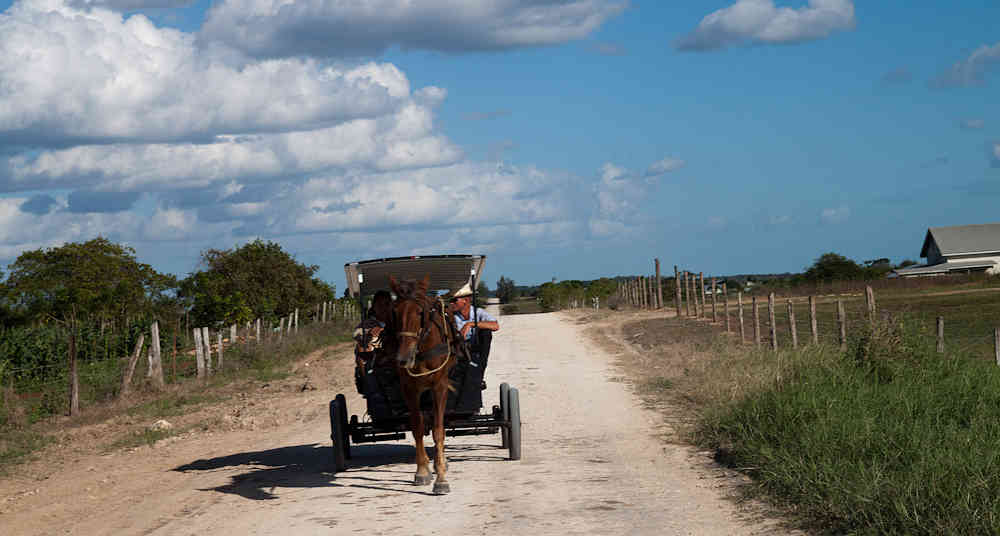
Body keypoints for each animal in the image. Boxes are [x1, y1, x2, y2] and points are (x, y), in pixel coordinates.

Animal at [388, 275, 460, 494]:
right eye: (395, 311)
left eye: (420, 312)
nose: (403, 358)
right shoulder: (409, 389)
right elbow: (418, 428)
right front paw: (421, 471)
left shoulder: (439, 386)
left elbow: (438, 430)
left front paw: (441, 479)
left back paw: (439, 463)